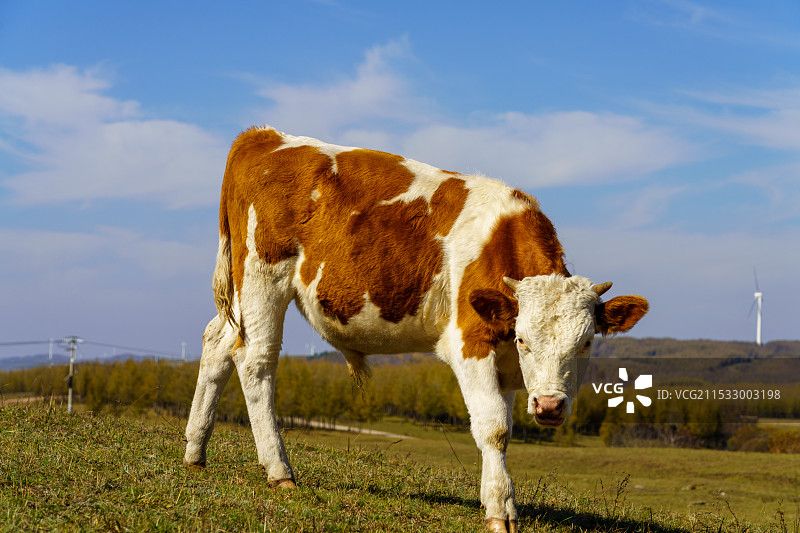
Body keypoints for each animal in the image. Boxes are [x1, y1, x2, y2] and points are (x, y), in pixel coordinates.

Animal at [184, 126, 649, 532]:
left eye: (586, 343)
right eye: (523, 339)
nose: (550, 406)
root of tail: (263, 136)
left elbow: (504, 428)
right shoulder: (470, 343)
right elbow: (494, 428)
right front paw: (500, 509)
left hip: (241, 293)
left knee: (217, 342)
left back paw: (195, 450)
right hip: (263, 277)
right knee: (255, 361)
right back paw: (278, 469)